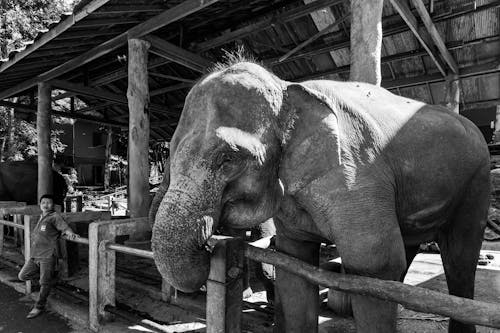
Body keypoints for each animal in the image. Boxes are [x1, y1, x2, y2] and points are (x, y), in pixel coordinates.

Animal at [151, 60, 488, 332]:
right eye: (171, 150)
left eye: (228, 158)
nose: (209, 243)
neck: (287, 87)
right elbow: (294, 262)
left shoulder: (355, 176)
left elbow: (374, 265)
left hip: (477, 180)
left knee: (459, 258)